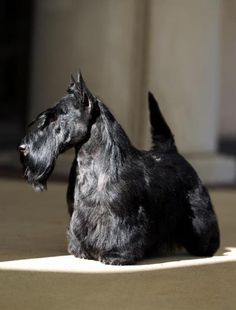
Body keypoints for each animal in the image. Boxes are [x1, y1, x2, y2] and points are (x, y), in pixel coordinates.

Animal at [19, 74, 220, 266]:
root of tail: (171, 150)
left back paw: (207, 248)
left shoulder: (123, 215)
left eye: (56, 117)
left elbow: (122, 234)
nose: (22, 148)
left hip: (198, 212)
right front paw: (80, 251)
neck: (91, 166)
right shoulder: (77, 213)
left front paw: (116, 256)